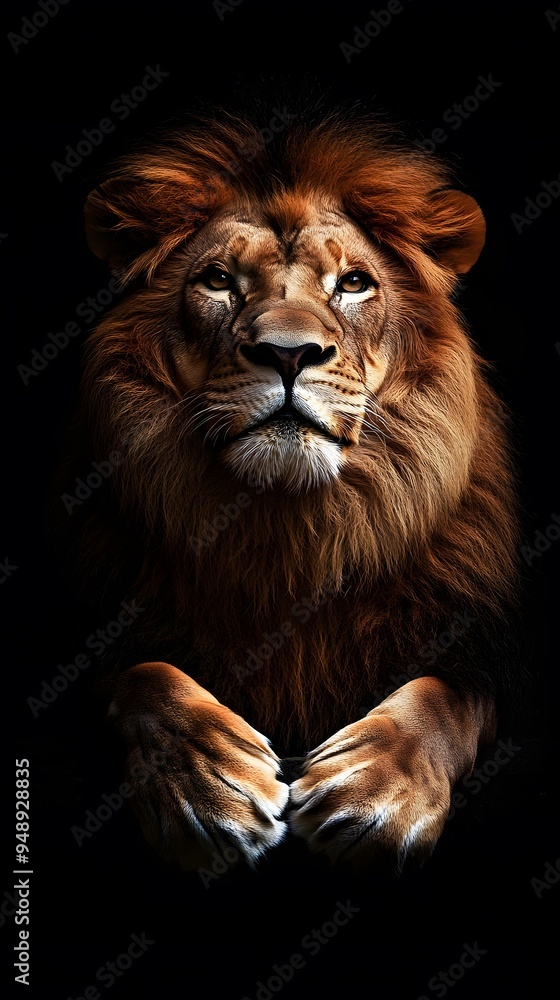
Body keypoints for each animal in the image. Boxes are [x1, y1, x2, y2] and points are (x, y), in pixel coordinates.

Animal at [66, 108, 521, 872]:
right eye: (218, 280)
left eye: (354, 283)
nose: (288, 353)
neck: (290, 528)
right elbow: (142, 673)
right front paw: (212, 785)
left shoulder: (479, 649)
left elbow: (447, 697)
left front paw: (372, 793)